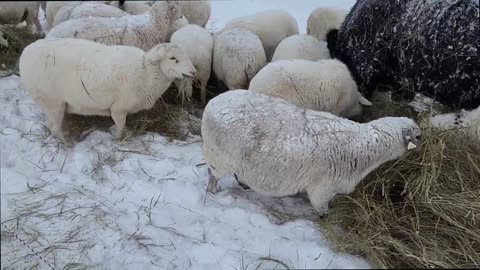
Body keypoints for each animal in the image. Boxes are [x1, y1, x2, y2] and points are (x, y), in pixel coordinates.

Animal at [18, 38, 195, 143]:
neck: (147, 74)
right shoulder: (118, 109)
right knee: (54, 127)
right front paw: (117, 139)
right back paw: (66, 144)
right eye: (172, 58)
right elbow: (121, 126)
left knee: (49, 125)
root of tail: (24, 53)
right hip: (53, 101)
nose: (193, 72)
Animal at [203, 89, 424, 214]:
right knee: (212, 176)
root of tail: (213, 101)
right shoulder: (322, 189)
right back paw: (213, 193)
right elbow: (322, 212)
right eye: (418, 137)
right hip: (217, 157)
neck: (364, 143)